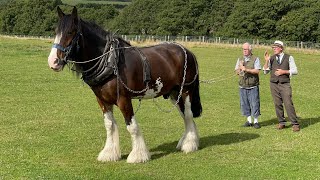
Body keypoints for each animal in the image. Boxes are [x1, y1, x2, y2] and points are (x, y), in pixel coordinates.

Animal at [47, 7, 202, 164]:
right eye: (56, 31)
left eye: (70, 32)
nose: (53, 61)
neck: (109, 61)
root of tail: (188, 51)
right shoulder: (102, 100)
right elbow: (109, 125)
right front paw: (109, 153)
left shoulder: (123, 99)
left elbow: (131, 126)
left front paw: (138, 155)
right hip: (174, 93)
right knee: (184, 116)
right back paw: (186, 141)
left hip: (186, 91)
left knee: (188, 114)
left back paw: (189, 145)